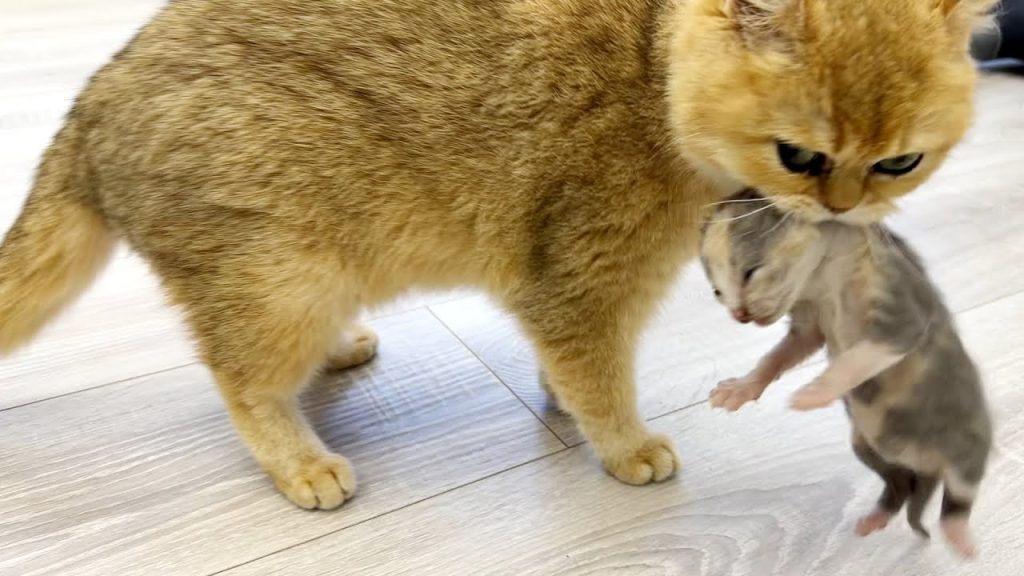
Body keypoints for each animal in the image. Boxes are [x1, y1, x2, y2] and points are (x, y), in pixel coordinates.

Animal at [0, 1, 991, 510]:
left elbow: (571, 372)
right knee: (243, 385)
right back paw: (301, 461)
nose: (843, 208)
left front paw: (565, 406)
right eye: (799, 155)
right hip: (280, 278)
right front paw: (623, 444)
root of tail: (90, 103)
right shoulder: (581, 281)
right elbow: (601, 378)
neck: (650, 66)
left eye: (899, 162)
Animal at [704, 189, 991, 557]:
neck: (825, 277)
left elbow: (856, 359)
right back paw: (877, 517)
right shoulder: (809, 322)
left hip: (963, 442)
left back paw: (959, 535)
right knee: (900, 484)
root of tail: (928, 468)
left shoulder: (902, 312)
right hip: (865, 445)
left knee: (960, 491)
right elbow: (776, 357)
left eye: (750, 272)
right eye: (717, 292)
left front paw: (815, 392)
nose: (739, 315)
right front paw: (741, 387)